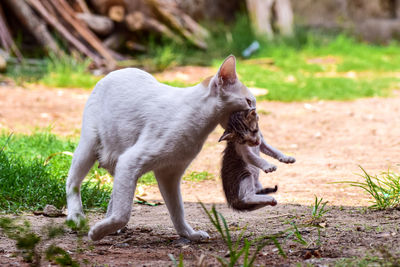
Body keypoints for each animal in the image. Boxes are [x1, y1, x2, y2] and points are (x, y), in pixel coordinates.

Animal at [66, 55, 256, 242]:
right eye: (248, 101)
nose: (255, 111)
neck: (200, 123)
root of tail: (116, 71)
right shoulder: (131, 161)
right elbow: (123, 214)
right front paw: (96, 233)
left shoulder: (169, 174)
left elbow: (177, 210)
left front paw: (189, 234)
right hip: (89, 146)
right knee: (72, 182)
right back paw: (77, 218)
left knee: (115, 193)